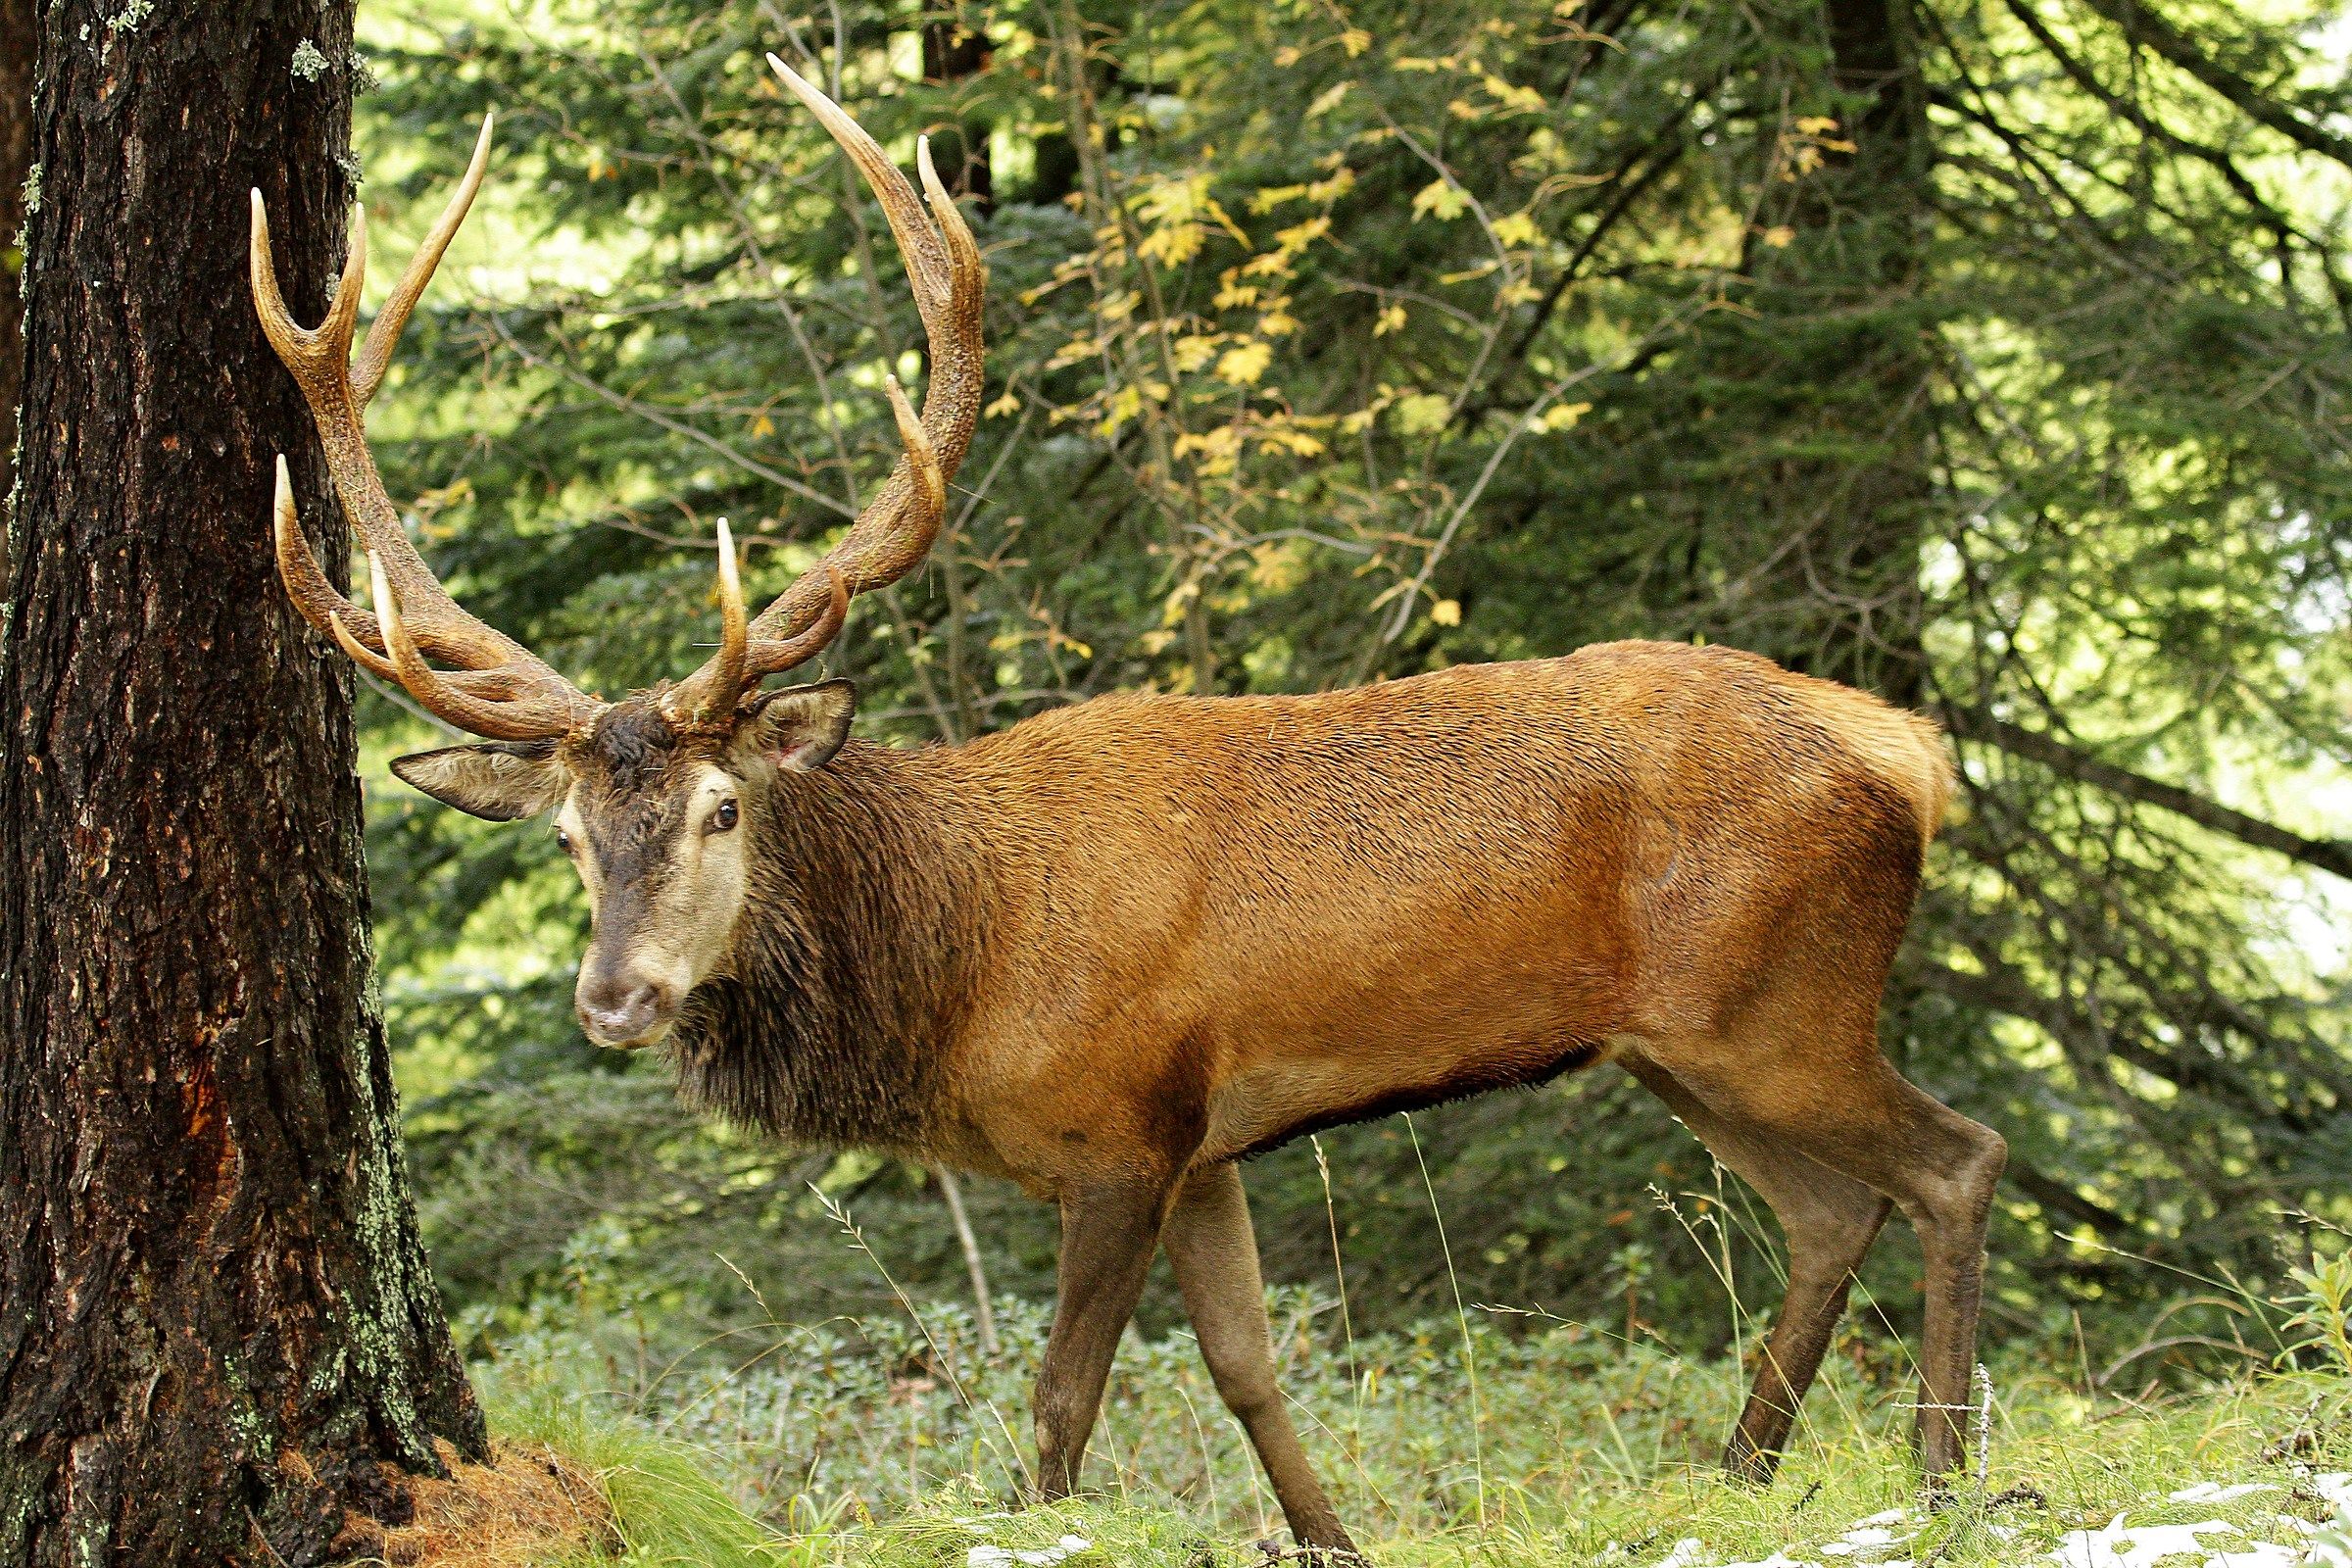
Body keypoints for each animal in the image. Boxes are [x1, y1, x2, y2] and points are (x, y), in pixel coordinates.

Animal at [249, 58, 2006, 1561]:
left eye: (723, 809)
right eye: (564, 838)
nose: (616, 998)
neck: (959, 972)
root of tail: (1910, 752)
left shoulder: (1118, 1131)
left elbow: (1061, 1403)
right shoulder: (1208, 1142)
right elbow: (1250, 1372)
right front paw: (1336, 1540)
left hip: (1781, 1004)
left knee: (1954, 1159)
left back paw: (1940, 1478)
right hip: (1686, 1045)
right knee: (1831, 1211)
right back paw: (1746, 1476)